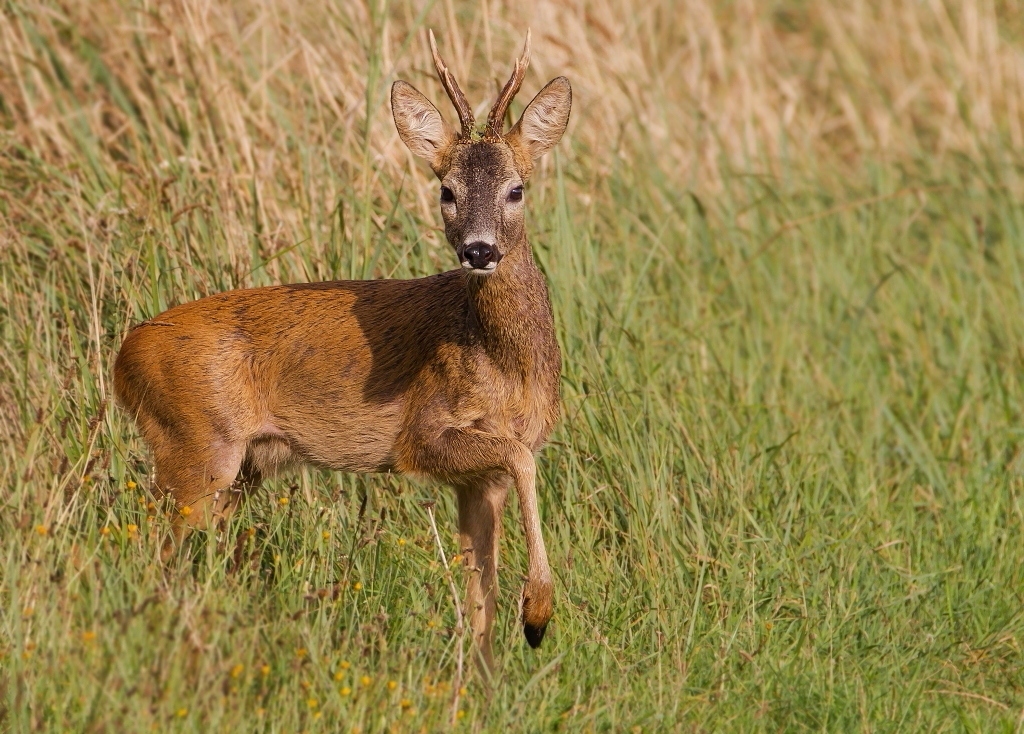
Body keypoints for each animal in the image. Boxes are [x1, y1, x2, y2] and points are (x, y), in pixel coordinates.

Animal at [117, 31, 577, 667]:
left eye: (517, 189)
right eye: (447, 190)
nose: (479, 251)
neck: (507, 366)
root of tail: (123, 356)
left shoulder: (480, 481)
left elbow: (479, 590)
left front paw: (488, 671)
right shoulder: (423, 435)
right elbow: (521, 461)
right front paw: (537, 615)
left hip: (240, 466)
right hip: (193, 446)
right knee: (153, 549)